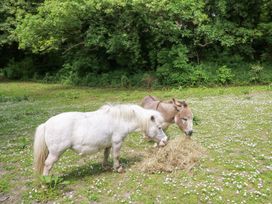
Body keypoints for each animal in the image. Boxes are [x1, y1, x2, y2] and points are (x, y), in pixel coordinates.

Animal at [33, 103, 167, 175]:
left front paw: (106, 166)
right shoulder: (117, 142)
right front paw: (118, 168)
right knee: (48, 165)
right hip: (55, 153)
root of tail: (46, 124)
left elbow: (106, 155)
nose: (165, 140)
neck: (120, 119)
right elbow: (116, 156)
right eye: (159, 127)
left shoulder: (108, 144)